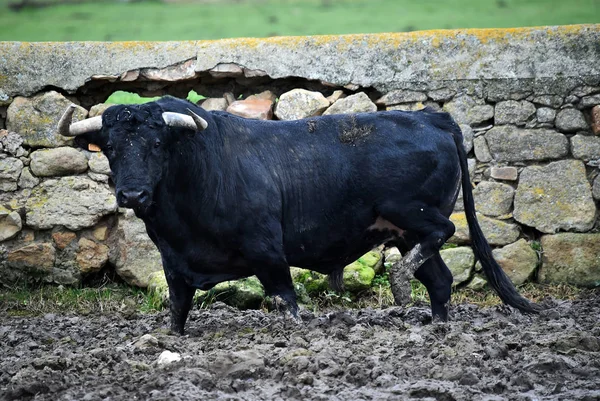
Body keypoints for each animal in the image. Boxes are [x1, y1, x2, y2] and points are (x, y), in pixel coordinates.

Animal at [58, 95, 540, 332]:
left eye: (157, 143)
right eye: (110, 148)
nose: (132, 193)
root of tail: (430, 118)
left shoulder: (267, 250)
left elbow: (285, 299)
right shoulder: (174, 262)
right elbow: (177, 310)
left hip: (410, 212)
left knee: (443, 231)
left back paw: (401, 285)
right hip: (403, 231)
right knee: (439, 279)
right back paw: (435, 326)